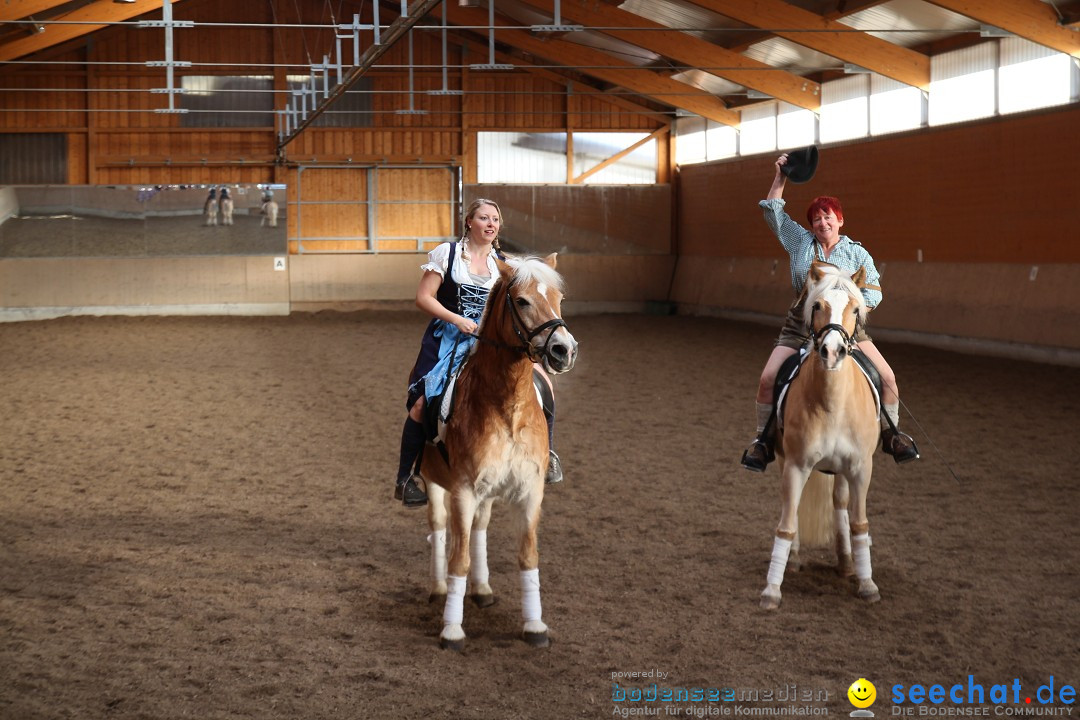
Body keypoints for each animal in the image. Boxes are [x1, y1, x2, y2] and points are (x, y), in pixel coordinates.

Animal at [421, 253, 578, 651]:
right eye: (521, 301)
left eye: (559, 299)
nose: (564, 350)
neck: (506, 406)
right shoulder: (462, 490)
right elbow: (457, 558)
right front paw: (452, 630)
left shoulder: (531, 492)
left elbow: (527, 556)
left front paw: (534, 625)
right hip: (435, 483)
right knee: (440, 529)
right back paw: (439, 588)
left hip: (488, 491)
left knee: (480, 528)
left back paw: (481, 589)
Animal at [764, 262, 881, 613]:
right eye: (816, 306)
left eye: (855, 309)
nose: (832, 351)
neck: (832, 404)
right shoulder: (796, 465)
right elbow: (787, 523)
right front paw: (771, 590)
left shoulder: (860, 468)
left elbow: (859, 523)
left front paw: (867, 585)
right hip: (784, 460)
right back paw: (794, 561)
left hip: (842, 471)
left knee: (839, 504)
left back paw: (846, 563)